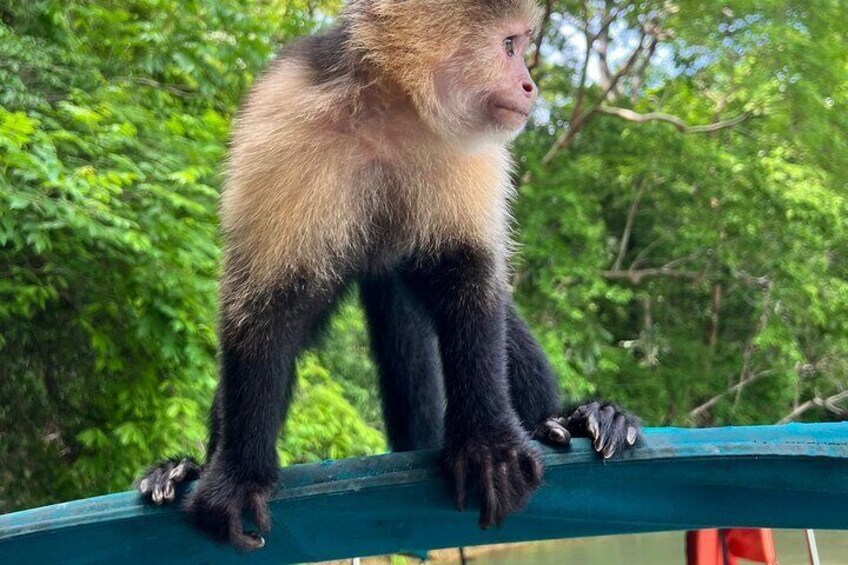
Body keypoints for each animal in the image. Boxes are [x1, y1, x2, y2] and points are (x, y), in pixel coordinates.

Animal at [137, 0, 641, 550]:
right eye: (510, 47)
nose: (530, 85)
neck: (390, 109)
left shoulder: (467, 145)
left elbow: (468, 278)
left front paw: (488, 445)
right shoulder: (284, 119)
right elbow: (267, 306)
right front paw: (237, 478)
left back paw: (577, 419)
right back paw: (183, 470)